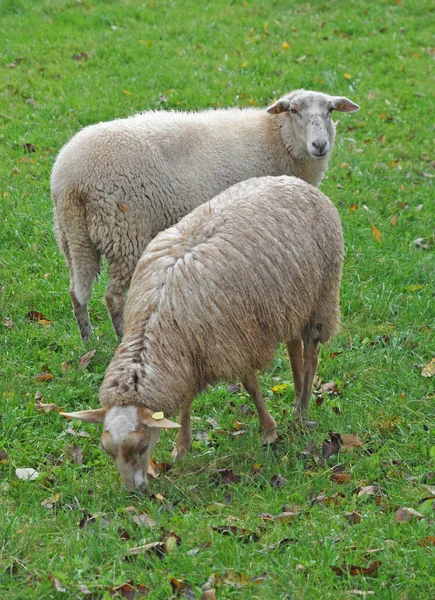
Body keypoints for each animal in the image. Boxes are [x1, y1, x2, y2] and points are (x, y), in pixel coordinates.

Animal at [51, 91, 358, 340]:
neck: (274, 138)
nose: (320, 145)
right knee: (113, 296)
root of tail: (70, 179)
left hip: (74, 235)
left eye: (331, 110)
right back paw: (118, 336)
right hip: (123, 230)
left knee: (77, 291)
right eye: (294, 110)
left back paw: (88, 340)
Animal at [61, 175, 346, 492]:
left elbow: (251, 387)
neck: (156, 322)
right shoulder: (188, 355)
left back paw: (302, 410)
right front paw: (182, 446)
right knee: (294, 347)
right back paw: (296, 400)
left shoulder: (233, 342)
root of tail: (294, 180)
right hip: (288, 303)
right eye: (108, 451)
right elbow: (185, 402)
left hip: (321, 296)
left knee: (310, 354)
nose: (135, 492)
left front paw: (268, 431)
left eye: (143, 445)